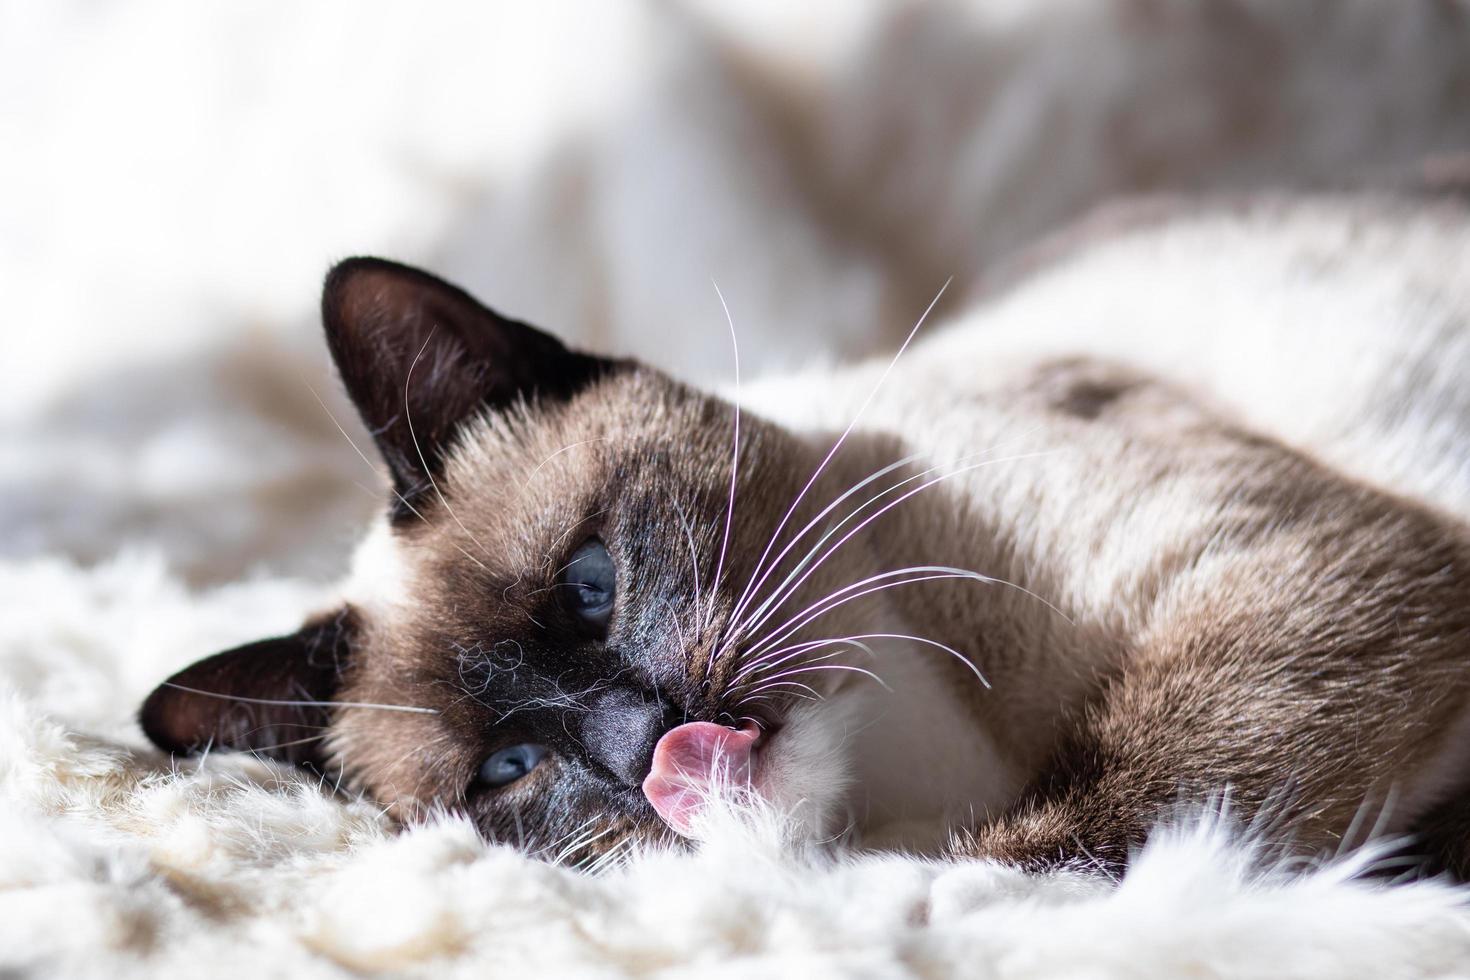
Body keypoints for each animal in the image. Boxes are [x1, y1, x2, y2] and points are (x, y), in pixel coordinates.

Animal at [143, 189, 1470, 875]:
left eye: (588, 585)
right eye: (508, 771)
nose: (644, 742)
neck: (925, 771)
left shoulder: (1286, 569)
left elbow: (1100, 820)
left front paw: (939, 896)